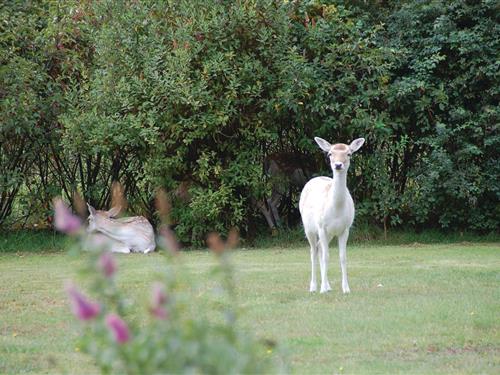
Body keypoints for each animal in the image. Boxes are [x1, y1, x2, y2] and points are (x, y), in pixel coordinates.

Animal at [298, 137, 366, 296]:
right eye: (329, 154)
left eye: (349, 154)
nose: (338, 165)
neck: (336, 209)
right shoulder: (321, 227)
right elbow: (327, 256)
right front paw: (322, 289)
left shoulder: (345, 229)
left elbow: (342, 257)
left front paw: (346, 288)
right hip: (309, 228)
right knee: (313, 251)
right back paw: (314, 287)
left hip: (329, 234)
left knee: (319, 248)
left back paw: (328, 285)